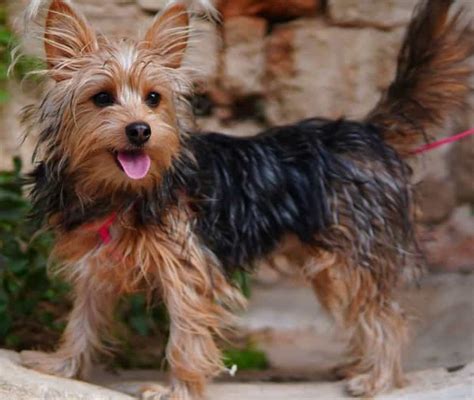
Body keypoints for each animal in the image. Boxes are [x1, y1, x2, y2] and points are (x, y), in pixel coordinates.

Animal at [17, 0, 470, 398]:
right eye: (102, 98)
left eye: (153, 98)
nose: (141, 130)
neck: (121, 192)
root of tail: (366, 132)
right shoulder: (95, 262)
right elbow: (83, 318)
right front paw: (60, 365)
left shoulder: (188, 267)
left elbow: (186, 333)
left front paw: (179, 389)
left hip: (349, 256)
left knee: (386, 317)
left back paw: (378, 378)